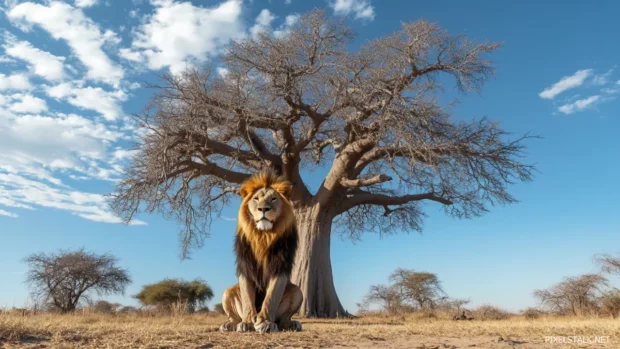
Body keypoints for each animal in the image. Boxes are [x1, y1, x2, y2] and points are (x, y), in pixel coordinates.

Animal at [219, 171, 304, 332]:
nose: (263, 209)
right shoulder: (245, 265)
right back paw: (229, 324)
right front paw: (247, 322)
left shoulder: (280, 266)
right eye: (256, 199)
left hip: (298, 292)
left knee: (283, 318)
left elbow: (271, 297)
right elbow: (247, 298)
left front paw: (265, 322)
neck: (263, 235)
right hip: (227, 292)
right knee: (233, 316)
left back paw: (291, 324)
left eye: (274, 198)